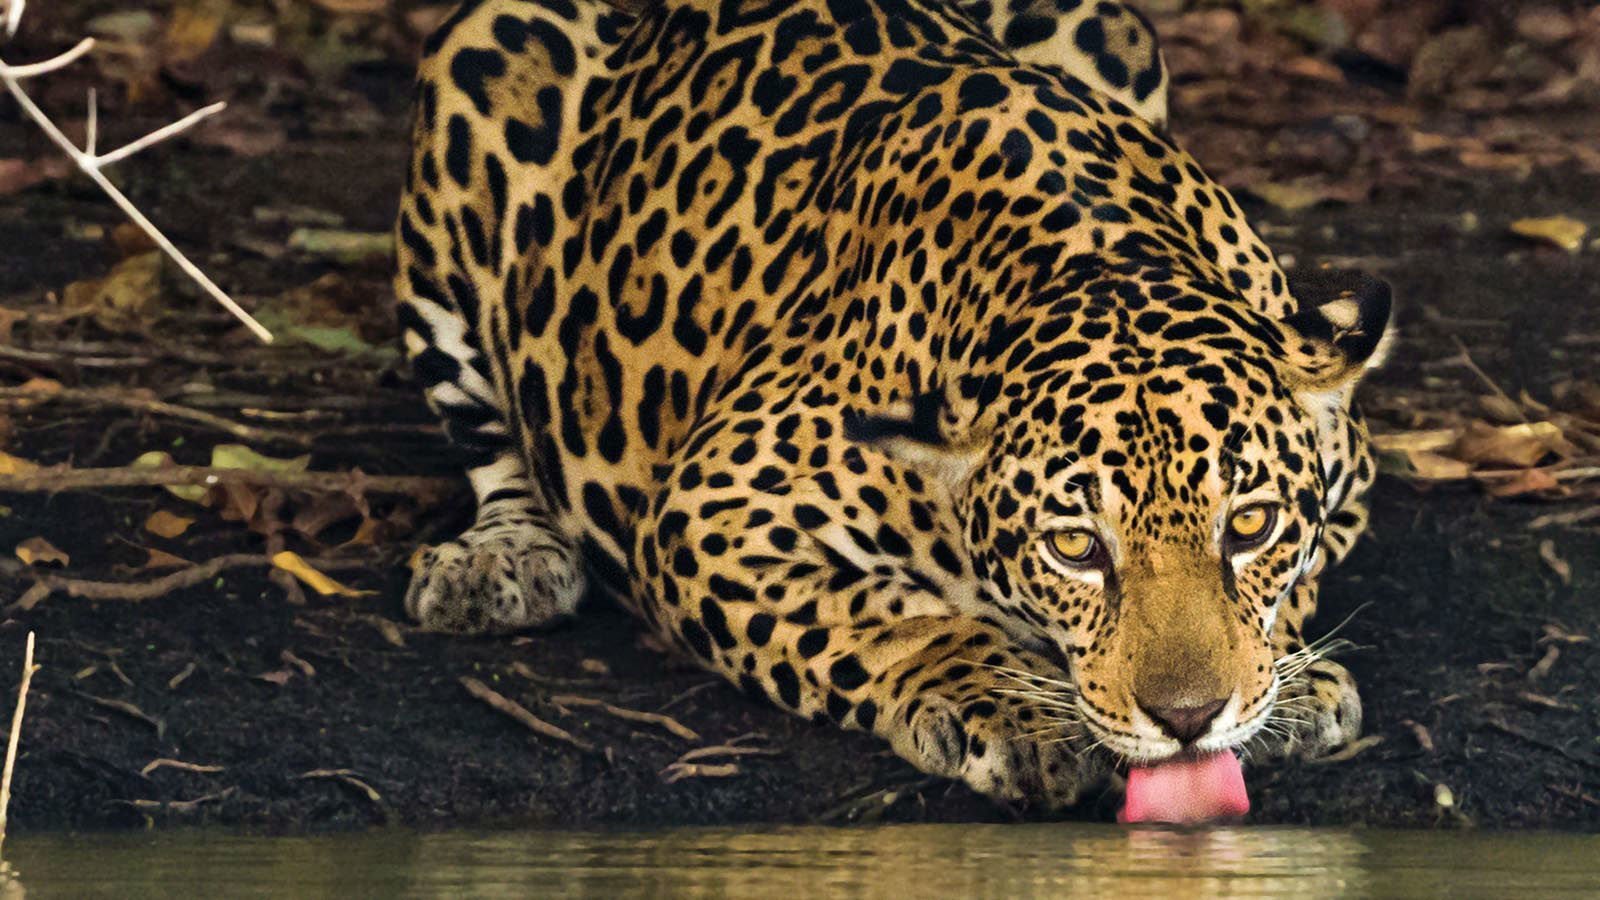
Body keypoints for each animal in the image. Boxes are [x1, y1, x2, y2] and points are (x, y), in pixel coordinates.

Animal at [394, 0, 1389, 808]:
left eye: (1251, 525)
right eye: (1075, 548)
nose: (1188, 719)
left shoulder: (1349, 487)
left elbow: (1299, 587)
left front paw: (1294, 686)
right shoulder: (708, 513)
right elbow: (888, 618)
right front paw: (1006, 707)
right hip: (480, 74)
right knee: (486, 431)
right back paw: (501, 560)